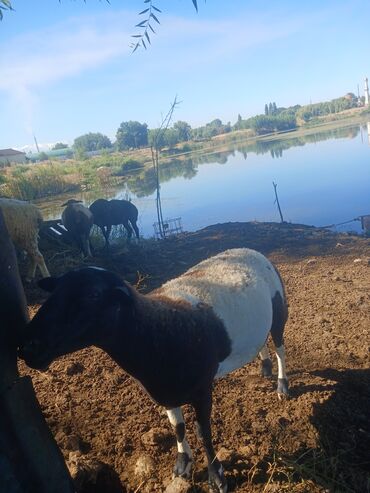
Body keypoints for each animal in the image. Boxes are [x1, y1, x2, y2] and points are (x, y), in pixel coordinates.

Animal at [18, 250, 290, 492]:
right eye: (53, 293)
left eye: (93, 295)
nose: (27, 345)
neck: (157, 328)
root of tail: (248, 250)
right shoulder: (163, 391)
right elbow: (177, 428)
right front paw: (182, 466)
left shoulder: (202, 389)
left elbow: (203, 433)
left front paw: (217, 478)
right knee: (261, 341)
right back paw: (264, 368)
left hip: (279, 310)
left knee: (279, 347)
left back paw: (281, 385)